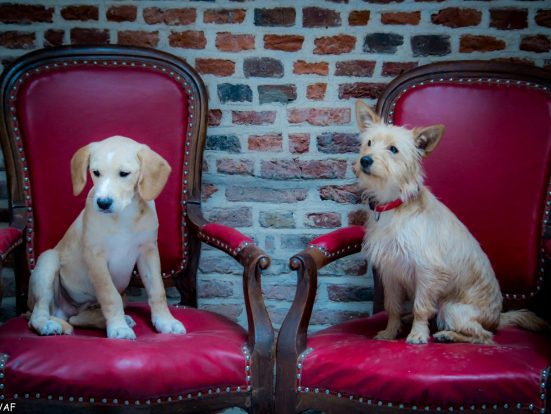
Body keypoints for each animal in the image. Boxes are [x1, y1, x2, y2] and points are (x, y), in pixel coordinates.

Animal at [27, 136, 187, 340]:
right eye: (96, 172)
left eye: (124, 174)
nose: (103, 203)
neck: (124, 216)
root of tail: (63, 310)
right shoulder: (96, 257)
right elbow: (109, 295)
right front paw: (118, 328)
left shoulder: (148, 251)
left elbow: (157, 291)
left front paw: (165, 322)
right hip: (48, 262)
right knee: (38, 313)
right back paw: (48, 324)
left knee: (77, 319)